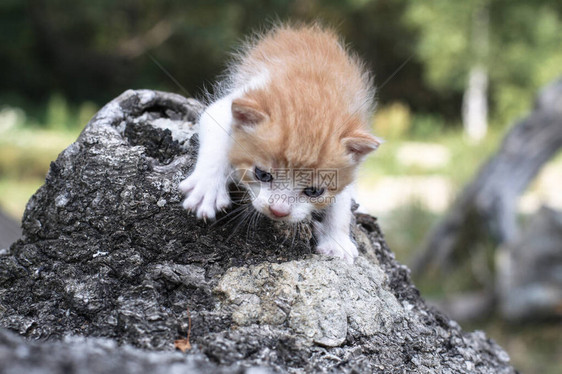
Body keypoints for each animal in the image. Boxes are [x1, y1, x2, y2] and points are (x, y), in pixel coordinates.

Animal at [179, 24, 378, 262]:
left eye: (314, 191)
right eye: (262, 174)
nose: (279, 211)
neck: (312, 95)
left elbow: (341, 200)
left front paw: (336, 240)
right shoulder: (229, 104)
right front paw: (207, 188)